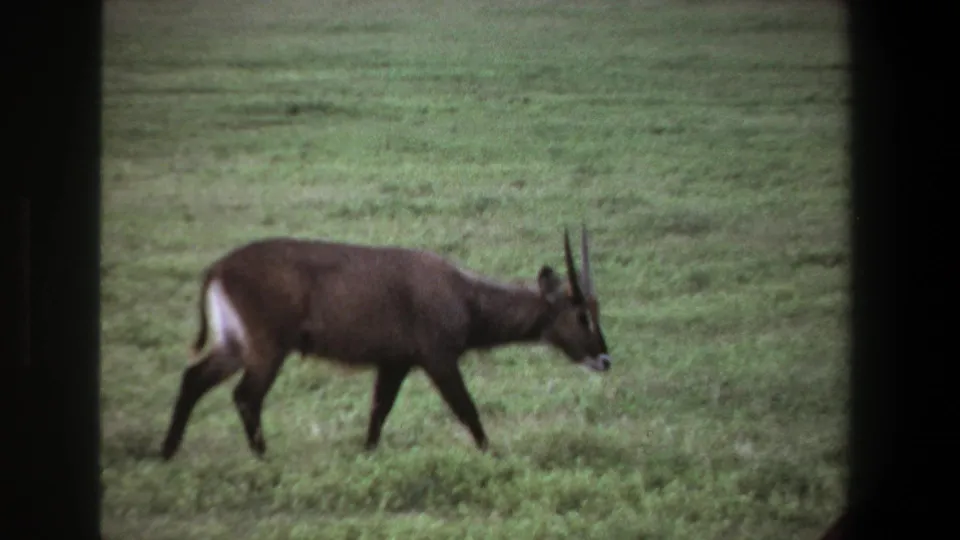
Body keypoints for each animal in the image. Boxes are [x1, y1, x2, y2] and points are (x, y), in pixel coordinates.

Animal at [160, 225, 611, 460]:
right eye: (582, 314)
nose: (605, 359)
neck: (463, 294)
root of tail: (218, 268)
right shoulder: (438, 359)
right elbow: (467, 409)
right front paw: (490, 454)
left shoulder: (395, 363)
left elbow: (378, 412)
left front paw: (367, 455)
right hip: (267, 350)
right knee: (245, 396)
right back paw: (262, 457)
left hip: (235, 346)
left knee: (192, 378)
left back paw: (167, 452)